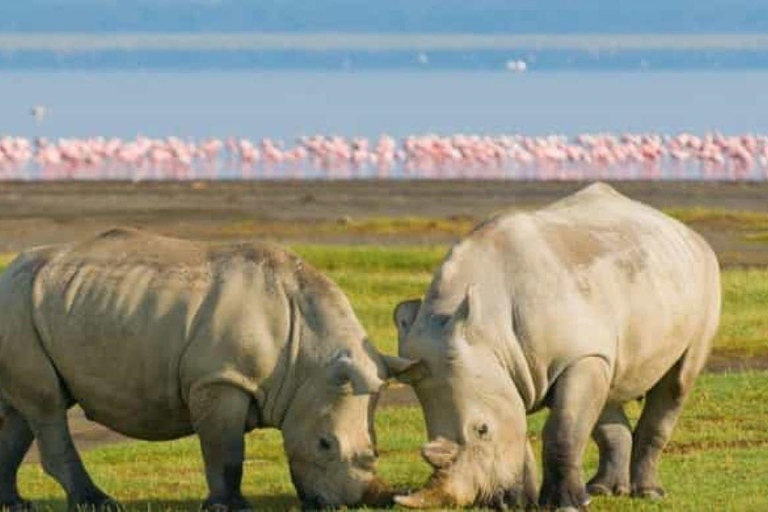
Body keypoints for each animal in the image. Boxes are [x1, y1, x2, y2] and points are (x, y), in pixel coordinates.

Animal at [1, 229, 402, 512]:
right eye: (325, 444)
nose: (358, 501)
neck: (310, 355)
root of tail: (8, 273)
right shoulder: (220, 378)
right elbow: (226, 450)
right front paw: (231, 507)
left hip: (35, 305)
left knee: (21, 411)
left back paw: (16, 504)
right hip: (19, 306)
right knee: (47, 405)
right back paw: (98, 503)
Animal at [392, 183, 724, 508]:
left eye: (482, 430)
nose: (492, 502)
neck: (487, 330)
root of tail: (683, 229)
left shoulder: (578, 356)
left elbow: (563, 428)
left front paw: (564, 504)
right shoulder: (507, 367)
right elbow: (524, 428)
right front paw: (525, 502)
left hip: (706, 274)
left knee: (677, 383)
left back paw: (648, 493)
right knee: (609, 387)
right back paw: (602, 490)